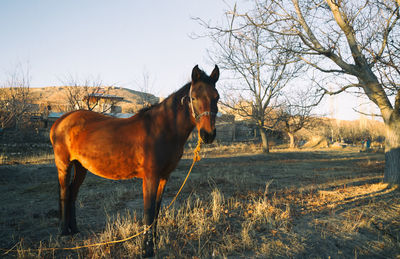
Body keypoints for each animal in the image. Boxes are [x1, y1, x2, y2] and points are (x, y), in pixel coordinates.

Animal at [50, 65, 220, 258]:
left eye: (216, 97)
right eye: (194, 97)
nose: (208, 135)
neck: (161, 129)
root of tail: (61, 121)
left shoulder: (164, 177)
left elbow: (156, 211)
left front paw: (154, 244)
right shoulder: (150, 177)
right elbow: (148, 212)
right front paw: (146, 250)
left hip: (81, 167)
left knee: (73, 192)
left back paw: (74, 230)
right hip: (64, 165)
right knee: (65, 192)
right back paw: (64, 233)